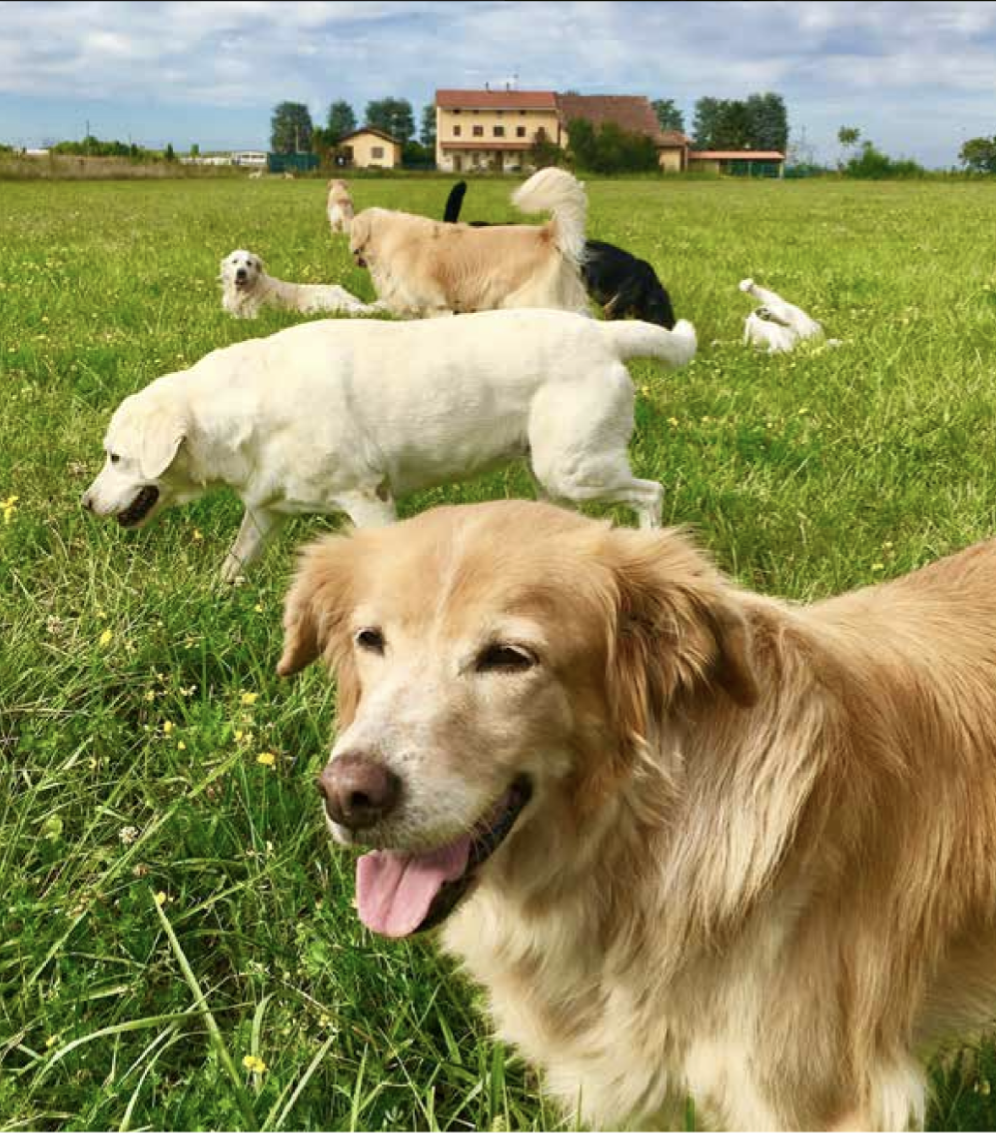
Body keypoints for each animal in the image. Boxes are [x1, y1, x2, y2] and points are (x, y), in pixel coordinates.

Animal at [81, 308, 697, 580]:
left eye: (116, 457)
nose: (85, 504)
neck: (245, 407)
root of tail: (602, 333)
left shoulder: (369, 499)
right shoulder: (264, 509)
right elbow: (234, 562)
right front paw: (214, 598)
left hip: (574, 468)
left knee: (652, 492)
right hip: (552, 477)